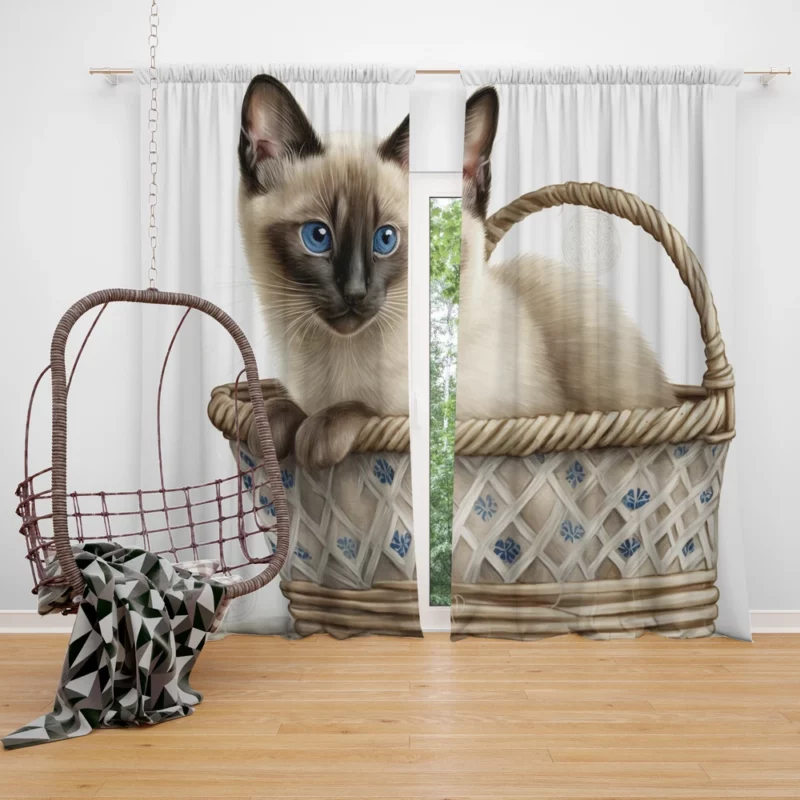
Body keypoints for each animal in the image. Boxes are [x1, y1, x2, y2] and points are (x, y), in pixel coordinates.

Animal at [238, 76, 676, 468]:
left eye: (386, 239)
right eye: (317, 237)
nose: (355, 293)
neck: (343, 360)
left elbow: (391, 409)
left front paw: (319, 431)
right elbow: (282, 405)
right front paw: (271, 426)